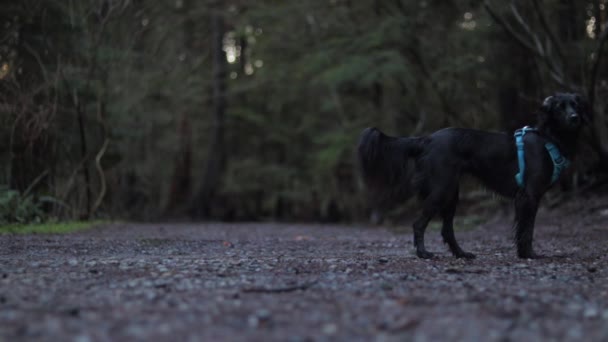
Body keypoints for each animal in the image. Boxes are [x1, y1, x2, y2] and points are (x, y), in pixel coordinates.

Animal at [358, 93, 588, 260]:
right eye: (560, 107)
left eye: (575, 106)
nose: (574, 118)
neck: (548, 139)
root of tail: (427, 139)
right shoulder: (528, 195)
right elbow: (526, 230)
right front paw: (528, 255)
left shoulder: (529, 198)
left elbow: (527, 228)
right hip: (441, 190)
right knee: (419, 223)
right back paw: (424, 254)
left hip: (451, 194)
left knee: (447, 230)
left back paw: (461, 254)